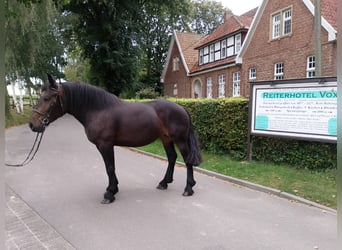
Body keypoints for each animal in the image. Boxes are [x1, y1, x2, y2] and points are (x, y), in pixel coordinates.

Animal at [29, 74, 202, 203]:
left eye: (47, 98)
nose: (32, 124)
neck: (98, 109)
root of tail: (182, 107)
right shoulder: (104, 146)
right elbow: (110, 167)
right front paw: (113, 189)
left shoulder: (105, 144)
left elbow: (110, 167)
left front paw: (110, 194)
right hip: (166, 139)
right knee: (172, 157)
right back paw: (164, 183)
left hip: (180, 140)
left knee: (187, 161)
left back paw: (188, 189)